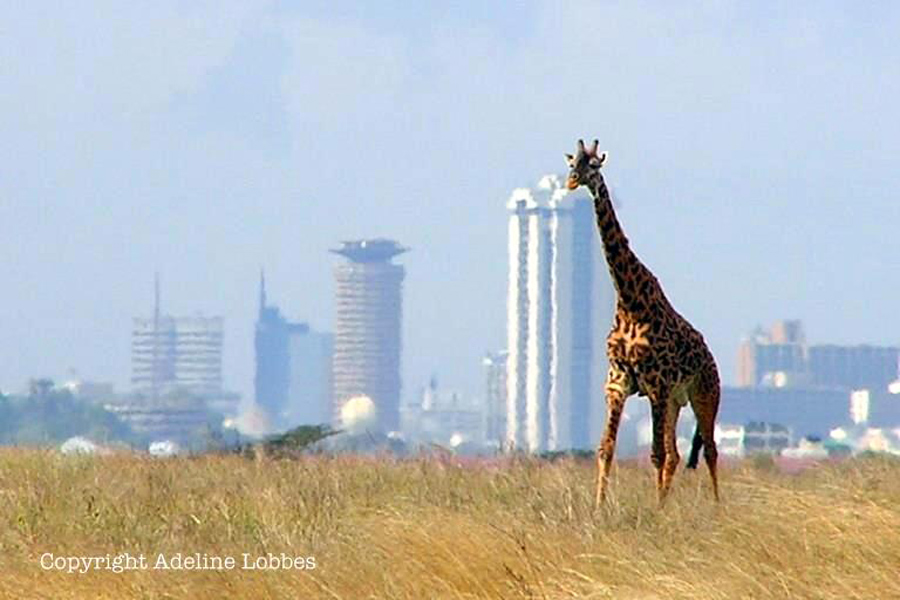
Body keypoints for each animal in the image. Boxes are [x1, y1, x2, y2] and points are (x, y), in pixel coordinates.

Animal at [568, 139, 720, 506]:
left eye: (595, 166)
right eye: (571, 163)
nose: (573, 181)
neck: (629, 302)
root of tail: (711, 357)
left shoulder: (656, 384)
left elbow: (655, 454)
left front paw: (656, 511)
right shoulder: (618, 382)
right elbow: (606, 449)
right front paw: (599, 507)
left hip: (704, 394)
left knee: (709, 450)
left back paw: (718, 507)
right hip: (676, 401)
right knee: (679, 454)